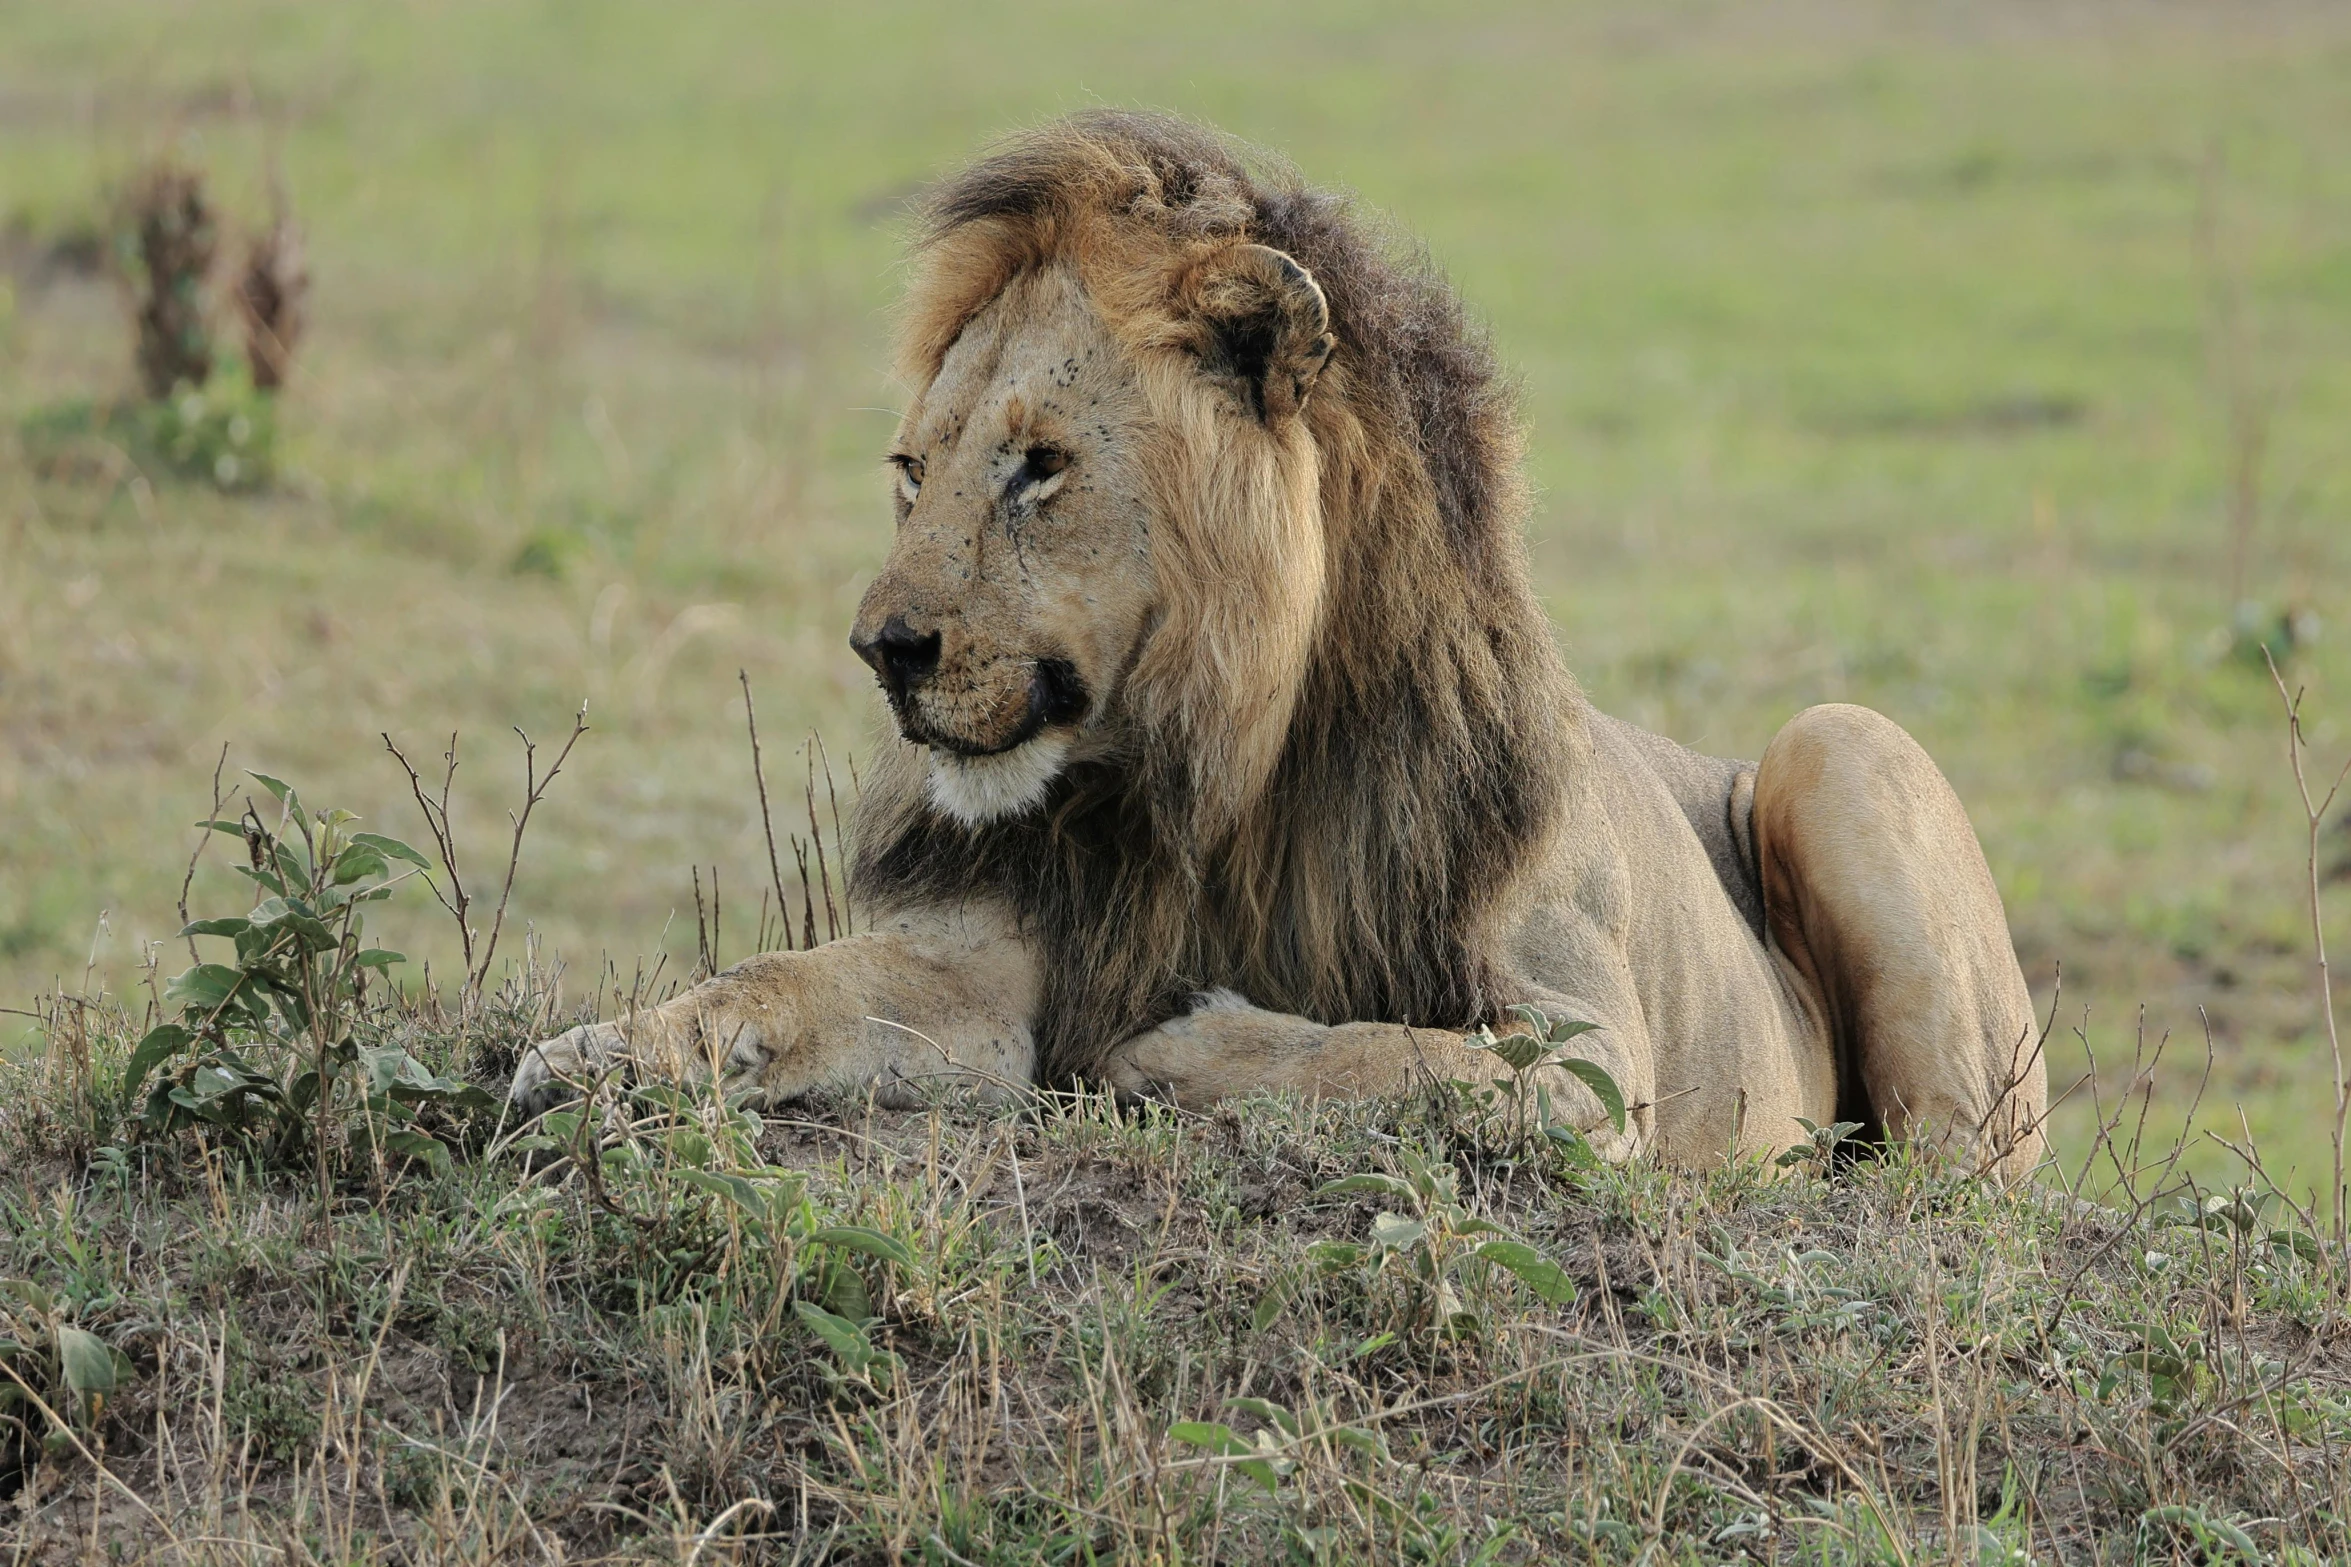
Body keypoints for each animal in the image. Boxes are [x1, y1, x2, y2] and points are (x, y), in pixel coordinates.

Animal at [510, 113, 2040, 1174]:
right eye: (911, 469)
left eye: (1039, 466)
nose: (879, 646)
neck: (1207, 783)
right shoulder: (999, 956)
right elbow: (778, 980)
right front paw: (597, 1055)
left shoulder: (1593, 1059)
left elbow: (1401, 1061)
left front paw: (1174, 1050)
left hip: (1839, 745)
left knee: (1944, 1182)